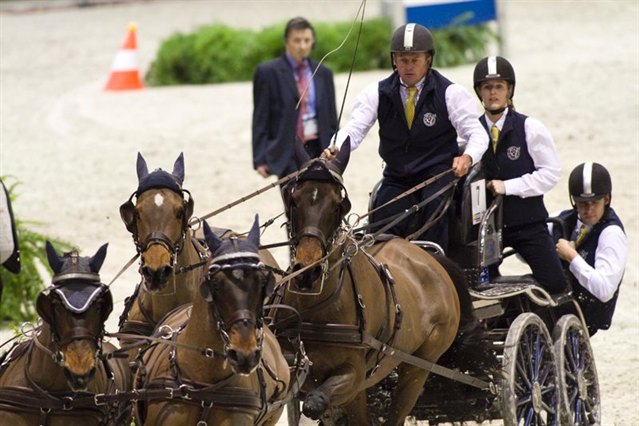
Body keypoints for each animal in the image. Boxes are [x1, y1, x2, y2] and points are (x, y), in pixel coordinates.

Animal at [276, 144, 476, 426]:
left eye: (339, 206)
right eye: (292, 199)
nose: (308, 273)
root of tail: (429, 258)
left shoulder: (353, 376)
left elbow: (315, 402)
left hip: (418, 368)